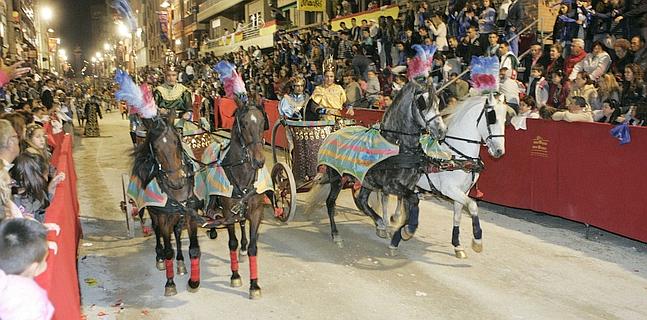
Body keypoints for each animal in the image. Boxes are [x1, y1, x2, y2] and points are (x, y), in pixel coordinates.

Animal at [132, 110, 202, 296]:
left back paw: (180, 263)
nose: (177, 181)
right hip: (155, 214)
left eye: (177, 141)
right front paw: (170, 283)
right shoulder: (164, 219)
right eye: (155, 148)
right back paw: (160, 258)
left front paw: (193, 282)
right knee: (157, 232)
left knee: (176, 233)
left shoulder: (190, 216)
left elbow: (194, 249)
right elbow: (168, 249)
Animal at [318, 79, 446, 251]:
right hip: (337, 178)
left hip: (365, 180)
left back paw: (380, 224)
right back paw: (337, 235)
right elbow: (413, 199)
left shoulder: (409, 184)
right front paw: (407, 230)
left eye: (438, 102)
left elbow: (410, 203)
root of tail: (334, 131)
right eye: (422, 102)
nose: (441, 131)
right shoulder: (390, 186)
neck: (398, 144)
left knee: (361, 200)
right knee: (331, 203)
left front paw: (399, 228)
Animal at [382, 93, 508, 258]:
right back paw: (385, 225)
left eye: (506, 120)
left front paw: (457, 245)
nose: (499, 151)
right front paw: (477, 241)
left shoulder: (463, 190)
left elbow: (458, 215)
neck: (456, 155)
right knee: (384, 197)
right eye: (492, 117)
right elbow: (473, 205)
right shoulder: (449, 189)